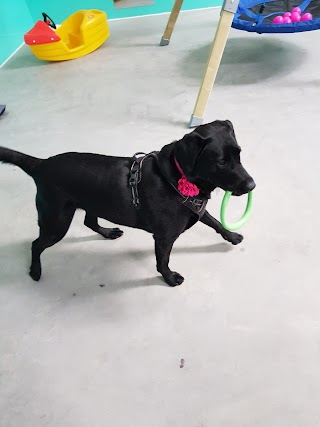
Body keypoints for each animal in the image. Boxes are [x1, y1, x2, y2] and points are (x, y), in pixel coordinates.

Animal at [0, 120, 255, 288]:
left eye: (239, 154)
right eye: (221, 162)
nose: (252, 185)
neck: (178, 175)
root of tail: (40, 164)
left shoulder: (196, 209)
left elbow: (215, 222)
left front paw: (232, 236)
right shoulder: (164, 237)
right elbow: (163, 261)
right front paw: (169, 278)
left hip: (89, 205)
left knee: (89, 221)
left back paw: (107, 232)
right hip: (56, 221)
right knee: (36, 244)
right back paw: (35, 271)